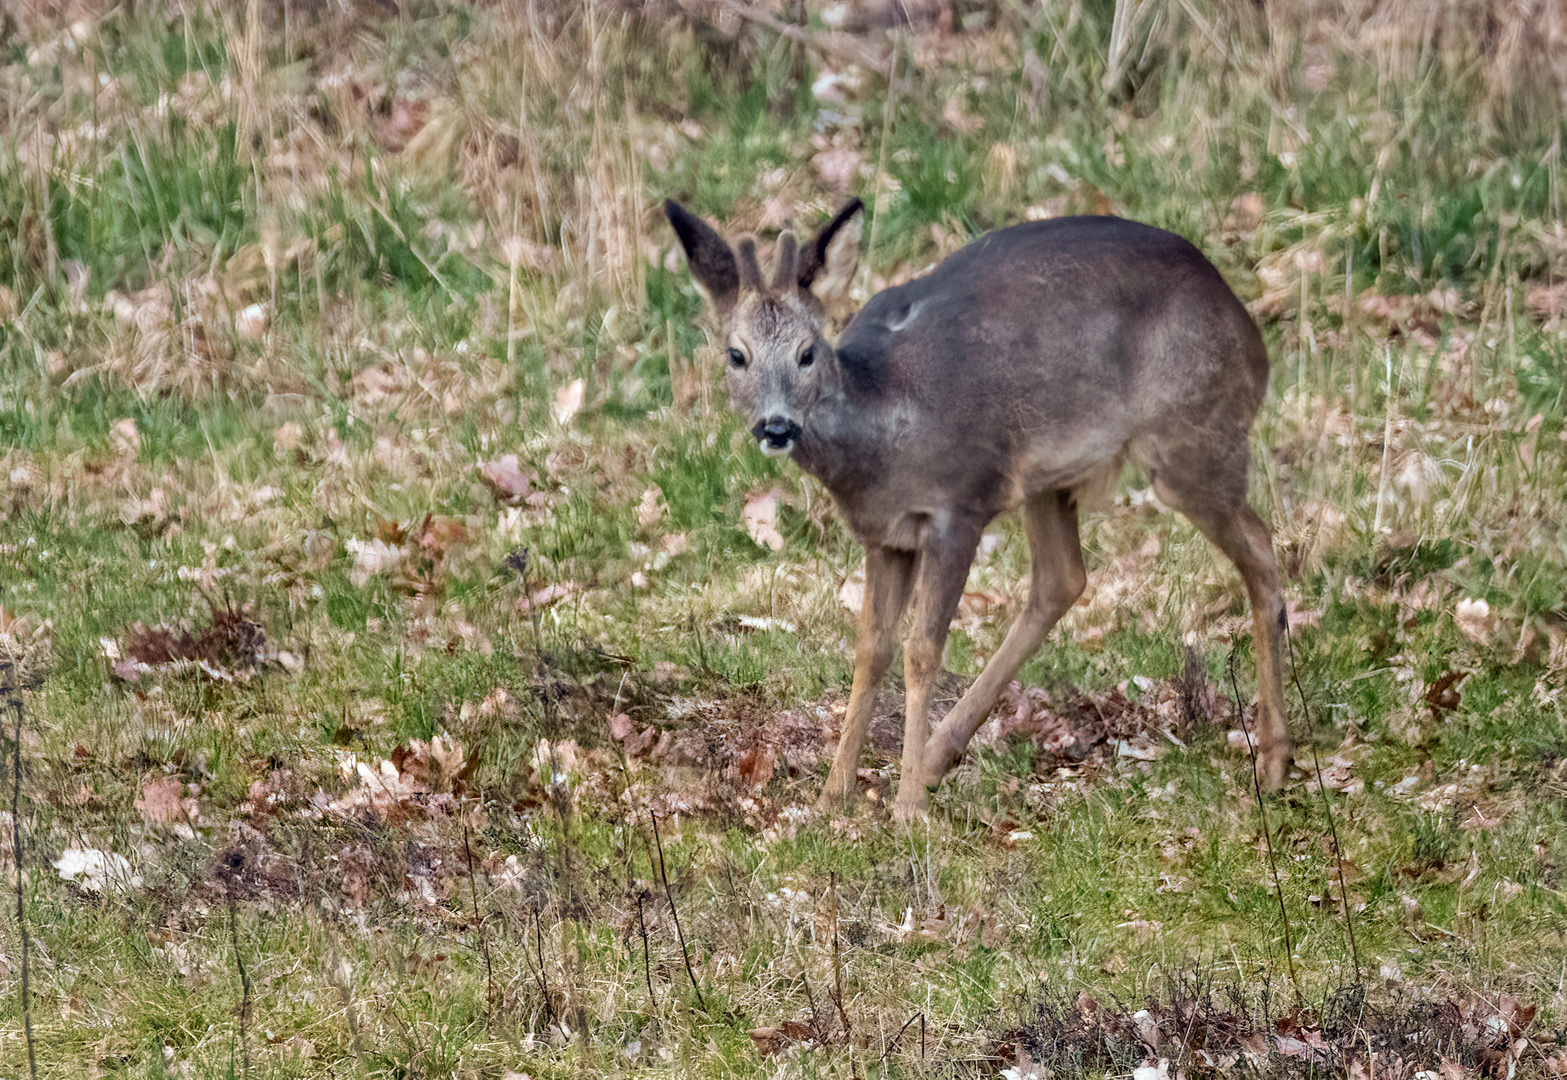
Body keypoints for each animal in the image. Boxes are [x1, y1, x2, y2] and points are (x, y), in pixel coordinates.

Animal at [667, 195, 1291, 815]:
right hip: (1050, 475)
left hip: (1191, 434)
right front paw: (832, 795)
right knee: (1062, 578)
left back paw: (1274, 759)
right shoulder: (885, 536)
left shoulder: (959, 504)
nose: (776, 426)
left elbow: (922, 652)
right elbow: (871, 649)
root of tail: (1246, 327)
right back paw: (939, 757)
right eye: (736, 355)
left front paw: (906, 808)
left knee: (1261, 547)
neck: (884, 432)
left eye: (807, 353)